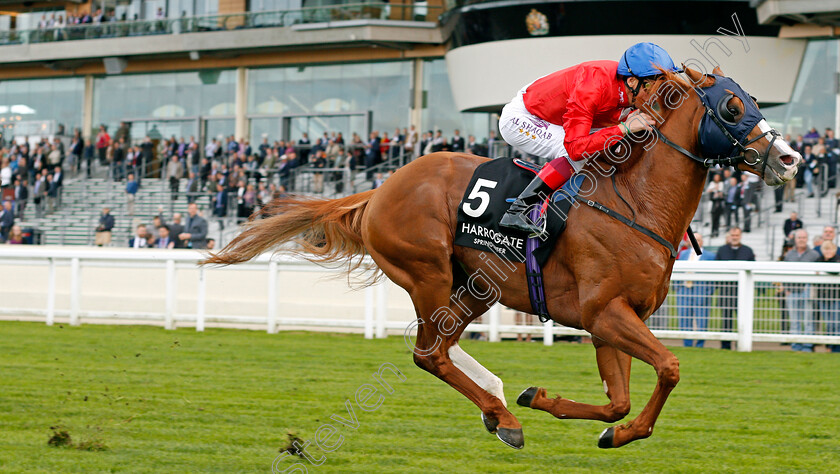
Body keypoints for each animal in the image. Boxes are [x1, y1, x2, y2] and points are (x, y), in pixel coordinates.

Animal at [203, 68, 800, 450]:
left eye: (753, 100)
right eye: (733, 106)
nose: (791, 158)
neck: (635, 202)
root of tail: (381, 189)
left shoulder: (614, 320)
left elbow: (619, 402)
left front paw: (577, 414)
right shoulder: (605, 312)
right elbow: (670, 368)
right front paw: (602, 426)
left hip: (475, 287)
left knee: (441, 348)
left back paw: (500, 403)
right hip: (426, 273)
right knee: (429, 353)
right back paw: (502, 415)